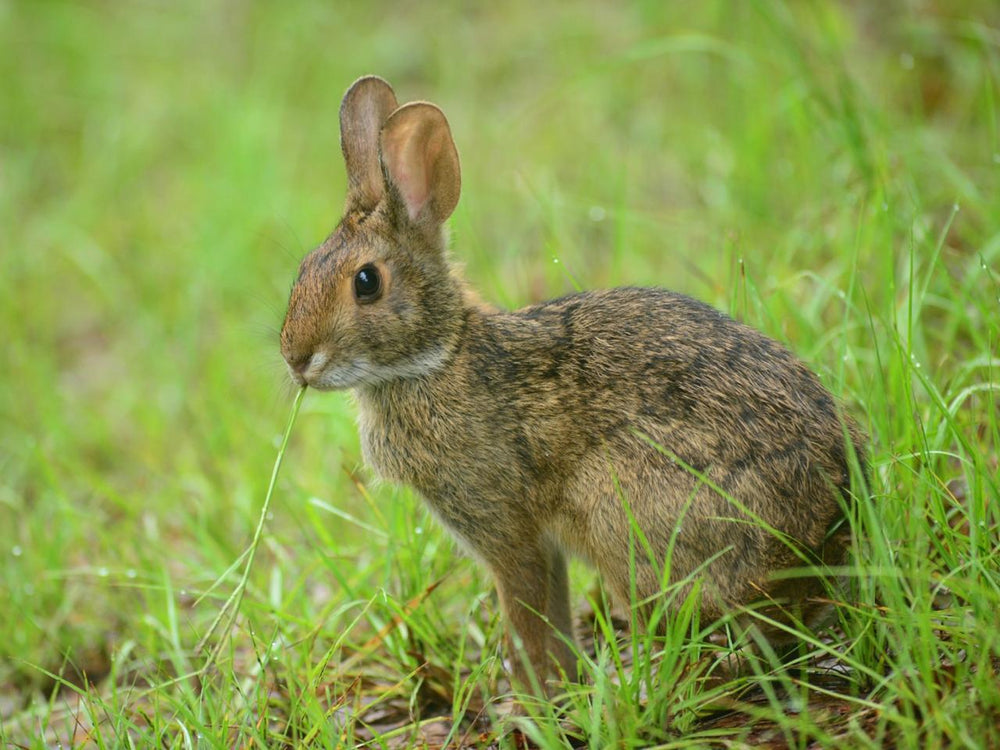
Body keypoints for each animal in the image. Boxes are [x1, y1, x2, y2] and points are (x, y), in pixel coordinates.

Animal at [280, 75, 868, 693]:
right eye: (305, 267)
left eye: (366, 282)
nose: (296, 359)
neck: (439, 357)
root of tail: (826, 537)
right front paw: (559, 685)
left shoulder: (507, 529)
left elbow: (526, 613)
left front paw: (533, 696)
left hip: (625, 515)